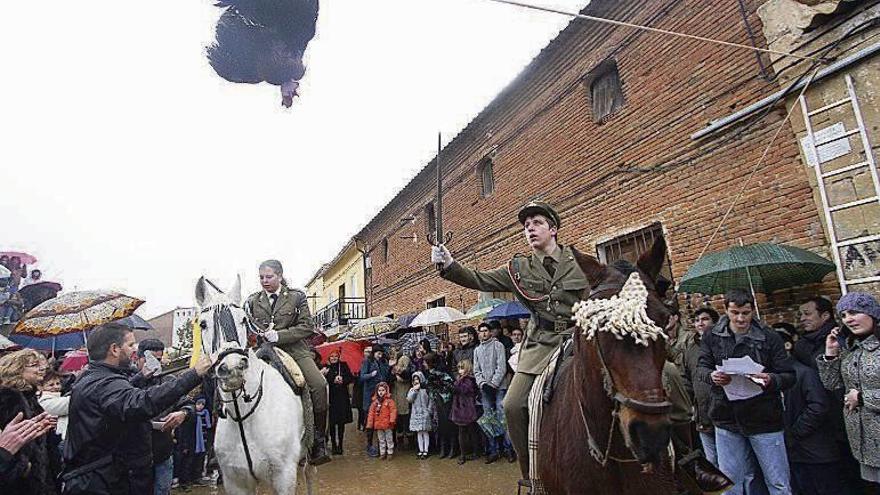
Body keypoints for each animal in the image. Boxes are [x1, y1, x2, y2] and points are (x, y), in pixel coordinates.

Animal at [194, 278, 314, 495]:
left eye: (243, 320)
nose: (232, 368)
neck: (244, 416)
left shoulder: (284, 476)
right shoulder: (236, 482)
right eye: (203, 324)